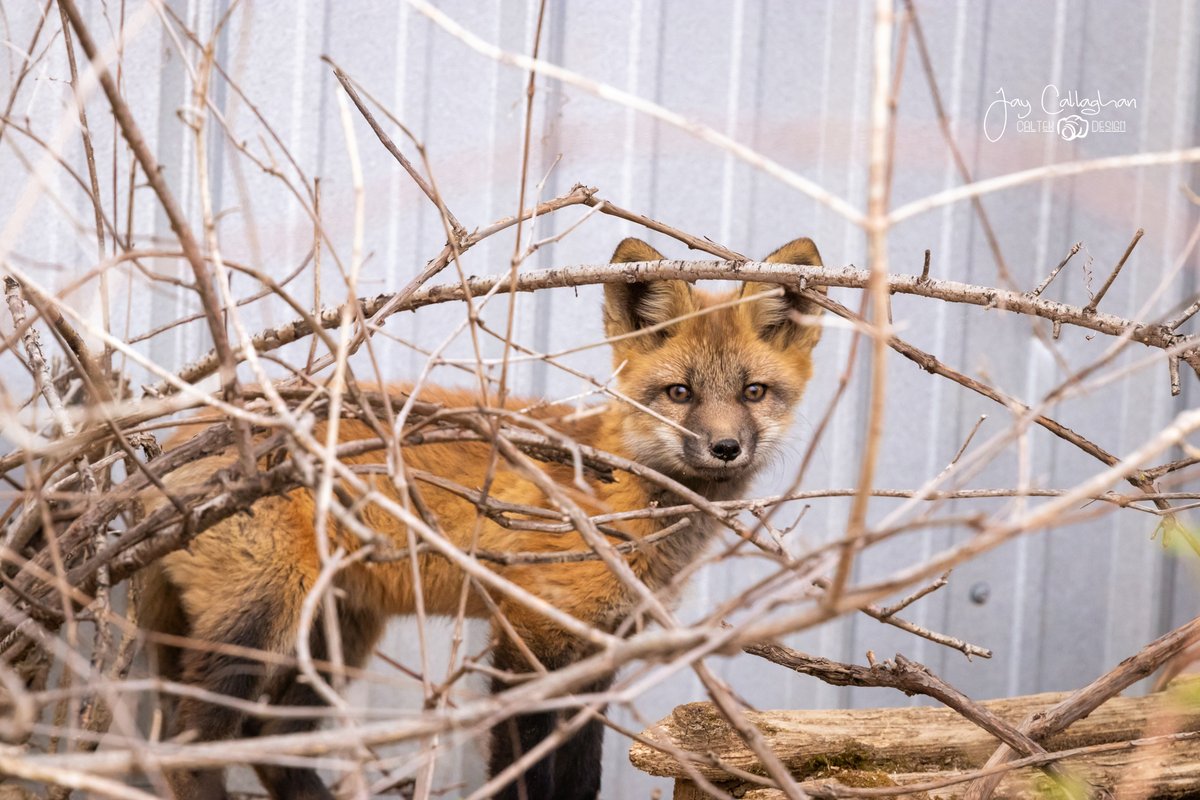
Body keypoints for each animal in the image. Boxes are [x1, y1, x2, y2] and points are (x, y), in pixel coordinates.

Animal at [137, 236, 826, 800]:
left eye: (753, 393)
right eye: (680, 393)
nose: (726, 448)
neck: (620, 502)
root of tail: (180, 439)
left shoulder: (598, 655)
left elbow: (581, 780)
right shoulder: (527, 640)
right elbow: (524, 780)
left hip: (333, 635)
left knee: (273, 749)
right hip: (263, 623)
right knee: (194, 754)